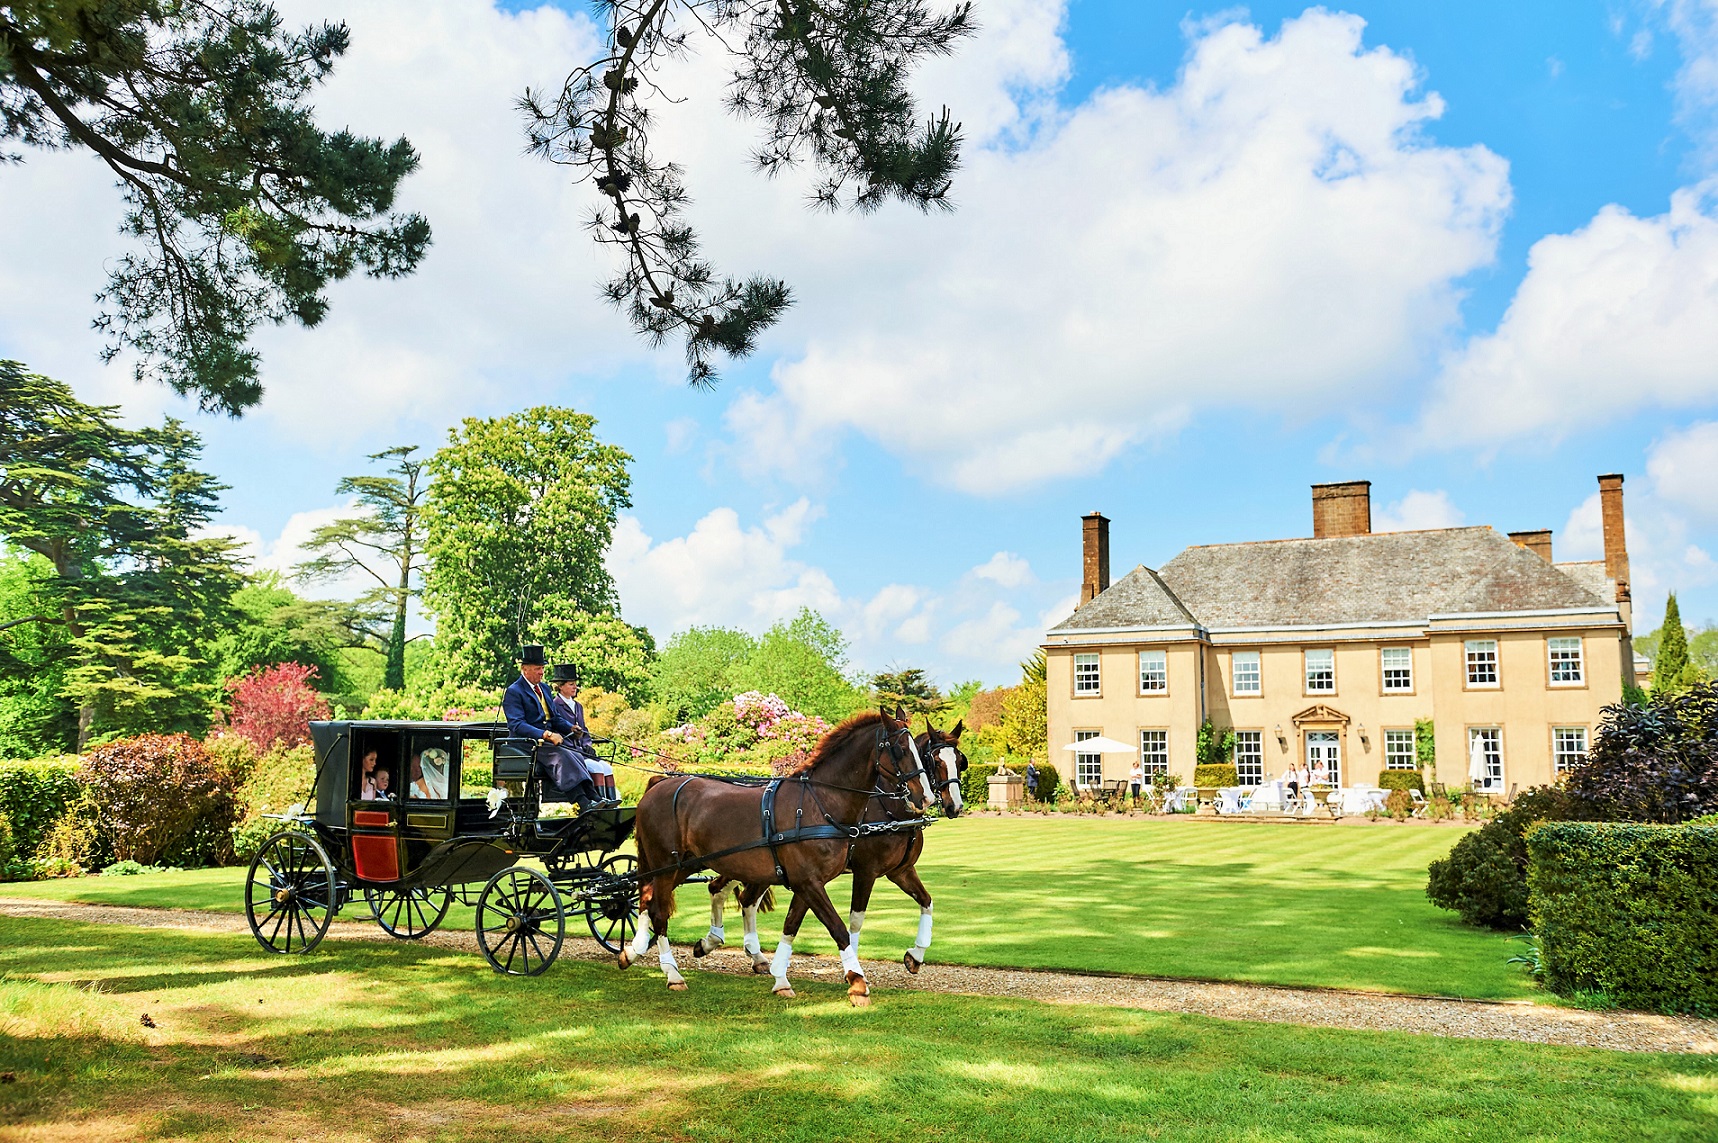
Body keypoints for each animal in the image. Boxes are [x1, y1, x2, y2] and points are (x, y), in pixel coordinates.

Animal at [615, 708, 920, 1003]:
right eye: (900, 749)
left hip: (683, 864)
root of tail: (657, 785)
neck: (817, 804)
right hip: (666, 864)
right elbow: (838, 927)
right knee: (659, 911)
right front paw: (857, 983)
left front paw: (780, 978)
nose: (922, 796)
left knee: (648, 899)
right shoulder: (810, 881)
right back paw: (672, 973)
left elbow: (791, 925)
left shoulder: (807, 882)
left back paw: (634, 951)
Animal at [697, 718, 968, 969]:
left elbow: (927, 902)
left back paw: (747, 952)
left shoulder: (901, 871)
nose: (954, 806)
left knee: (740, 897)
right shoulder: (865, 871)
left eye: (960, 762)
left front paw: (916, 954)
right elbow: (856, 919)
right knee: (726, 891)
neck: (890, 810)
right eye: (936, 761)